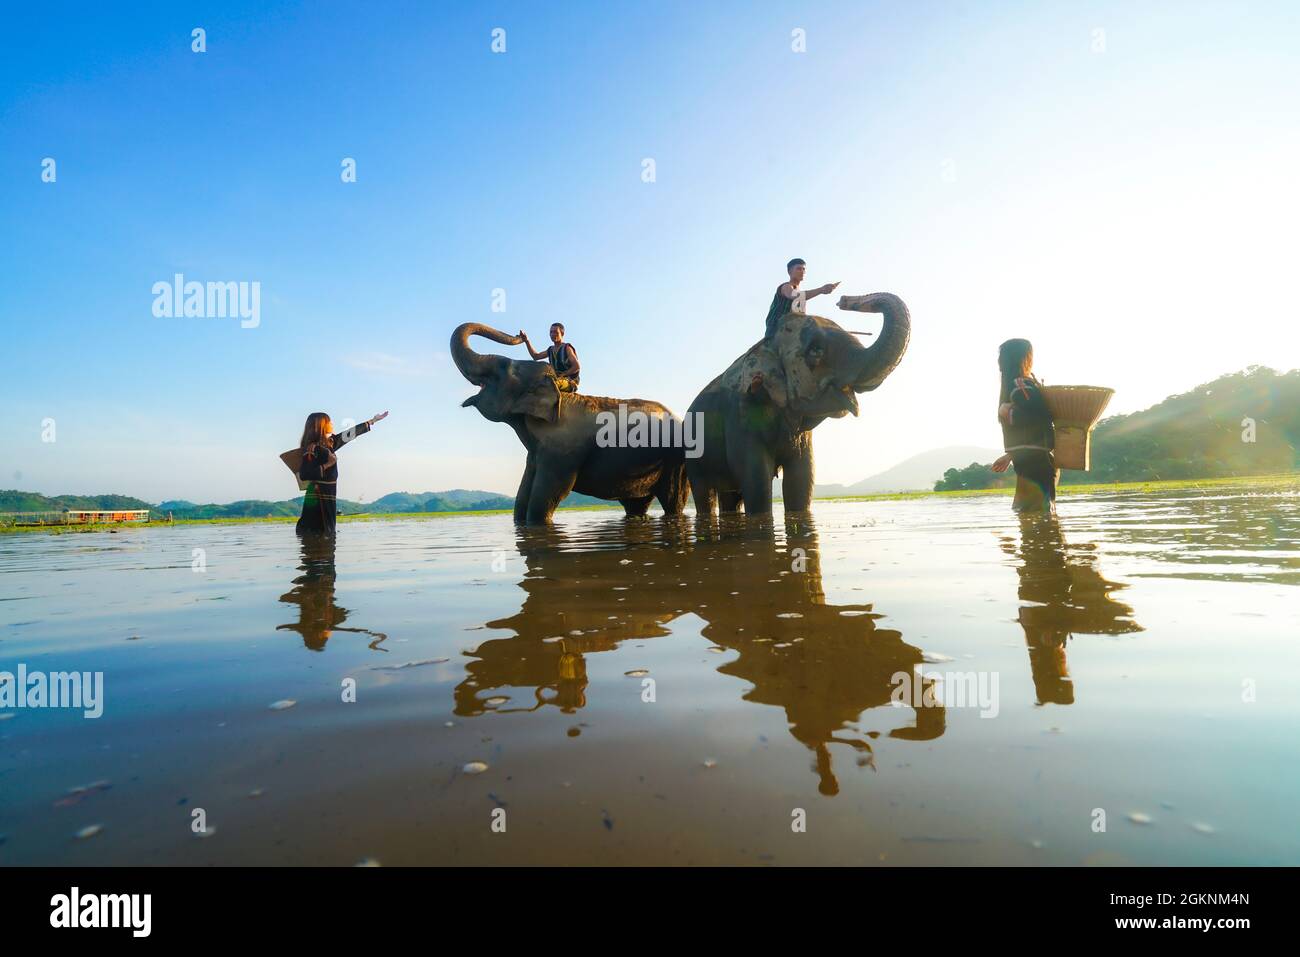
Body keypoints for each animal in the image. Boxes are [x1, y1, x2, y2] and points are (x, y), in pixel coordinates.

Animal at [452, 327, 691, 522]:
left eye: (502, 367)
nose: (520, 334)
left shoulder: (563, 450)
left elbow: (549, 494)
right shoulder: (536, 453)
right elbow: (522, 495)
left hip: (675, 461)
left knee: (672, 500)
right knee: (636, 504)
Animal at [686, 291, 909, 514]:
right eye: (815, 350)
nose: (843, 300)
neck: (767, 345)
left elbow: (801, 478)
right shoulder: (741, 415)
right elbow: (757, 481)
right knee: (704, 492)